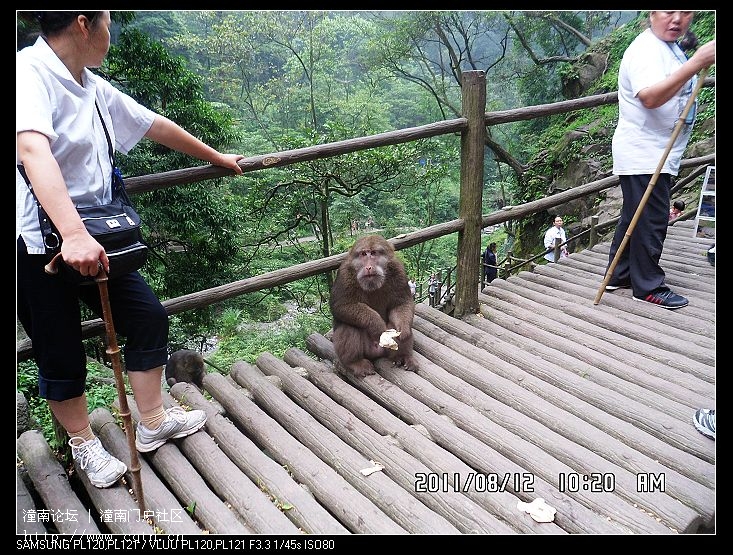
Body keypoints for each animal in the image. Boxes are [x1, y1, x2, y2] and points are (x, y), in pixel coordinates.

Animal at [328, 235, 418, 378]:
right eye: (364, 254)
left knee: (394, 324)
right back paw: (355, 362)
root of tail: (377, 350)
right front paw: (377, 325)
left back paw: (402, 356)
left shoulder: (398, 270)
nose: (369, 267)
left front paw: (403, 329)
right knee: (349, 325)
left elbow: (401, 304)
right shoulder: (344, 274)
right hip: (365, 350)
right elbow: (341, 306)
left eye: (374, 253)